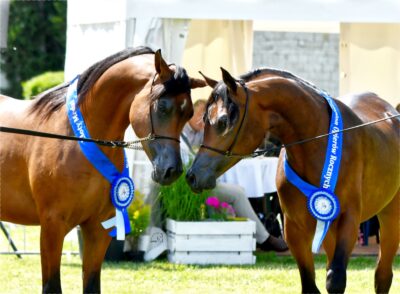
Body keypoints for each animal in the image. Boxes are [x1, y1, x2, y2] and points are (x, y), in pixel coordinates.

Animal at [0, 47, 205, 292]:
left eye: (190, 113)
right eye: (162, 106)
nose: (171, 170)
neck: (76, 138)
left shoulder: (98, 229)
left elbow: (91, 285)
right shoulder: (52, 227)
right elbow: (52, 286)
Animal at [188, 67, 400, 294]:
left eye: (222, 121)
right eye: (204, 119)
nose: (193, 175)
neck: (319, 145)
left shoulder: (348, 219)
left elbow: (335, 280)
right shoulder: (294, 229)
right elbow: (310, 284)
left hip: (390, 216)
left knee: (382, 275)